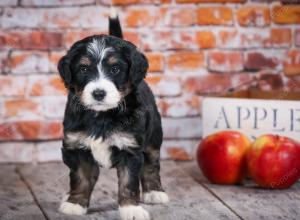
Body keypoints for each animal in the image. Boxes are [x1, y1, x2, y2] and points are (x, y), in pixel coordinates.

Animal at [58, 6, 169, 220]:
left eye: (115, 69)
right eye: (83, 69)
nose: (99, 93)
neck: (102, 117)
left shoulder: (130, 148)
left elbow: (128, 182)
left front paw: (131, 209)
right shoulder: (76, 146)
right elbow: (81, 177)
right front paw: (75, 203)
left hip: (154, 135)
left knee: (152, 163)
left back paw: (154, 191)